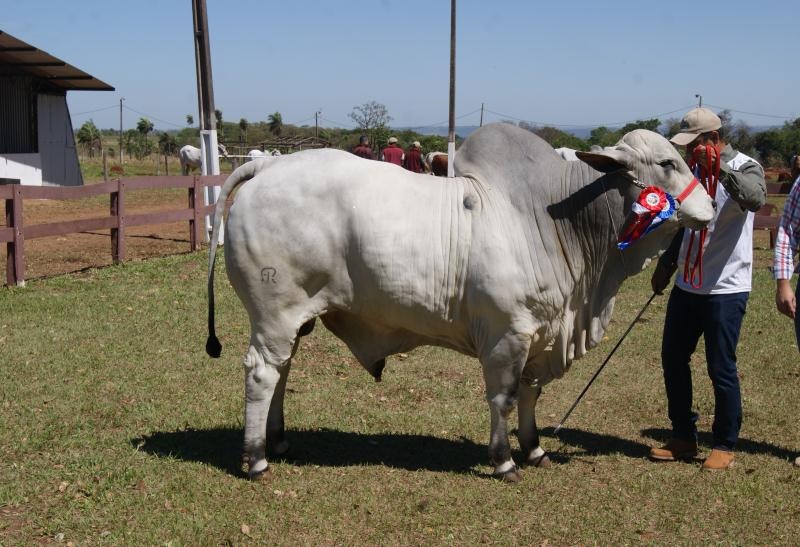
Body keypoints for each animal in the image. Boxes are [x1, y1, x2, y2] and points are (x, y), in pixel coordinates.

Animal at [205, 125, 712, 484]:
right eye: (667, 162)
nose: (708, 209)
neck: (552, 217)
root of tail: (266, 169)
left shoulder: (542, 333)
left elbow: (531, 394)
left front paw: (535, 450)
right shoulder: (509, 333)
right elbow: (504, 397)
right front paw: (504, 461)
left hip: (293, 320)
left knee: (282, 370)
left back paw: (278, 441)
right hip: (273, 315)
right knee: (262, 373)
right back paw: (256, 459)